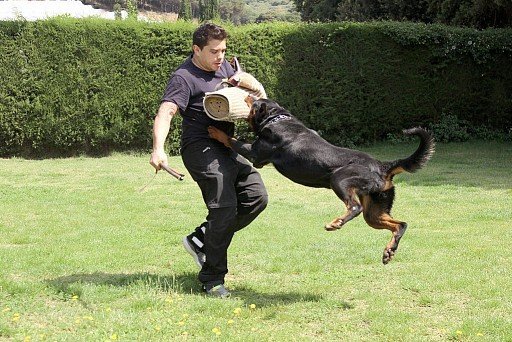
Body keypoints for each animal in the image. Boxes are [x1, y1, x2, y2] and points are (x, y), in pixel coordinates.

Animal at [207, 97, 432, 264]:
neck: (277, 118)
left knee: (354, 207)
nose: (248, 95)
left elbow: (231, 140)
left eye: (253, 101)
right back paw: (389, 250)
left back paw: (336, 223)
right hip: (375, 211)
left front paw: (215, 131)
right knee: (400, 225)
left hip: (339, 179)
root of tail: (382, 166)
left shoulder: (255, 154)